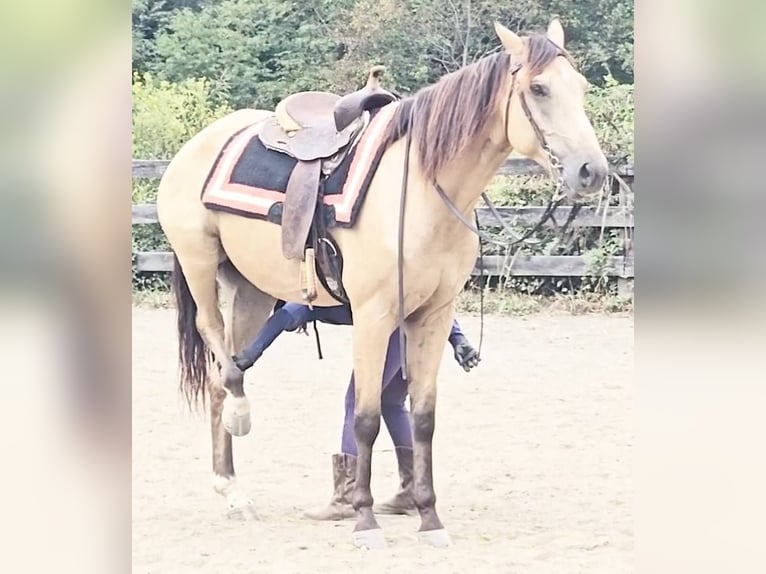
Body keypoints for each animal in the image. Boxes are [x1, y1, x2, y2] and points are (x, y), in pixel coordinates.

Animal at [156, 19, 608, 549]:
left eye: (581, 88)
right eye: (538, 89)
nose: (592, 171)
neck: (423, 190)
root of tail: (197, 145)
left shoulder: (433, 316)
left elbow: (422, 419)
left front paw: (429, 518)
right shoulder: (373, 317)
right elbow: (367, 418)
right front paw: (366, 521)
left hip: (254, 289)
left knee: (221, 377)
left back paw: (234, 488)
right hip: (200, 264)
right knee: (219, 352)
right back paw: (238, 441)